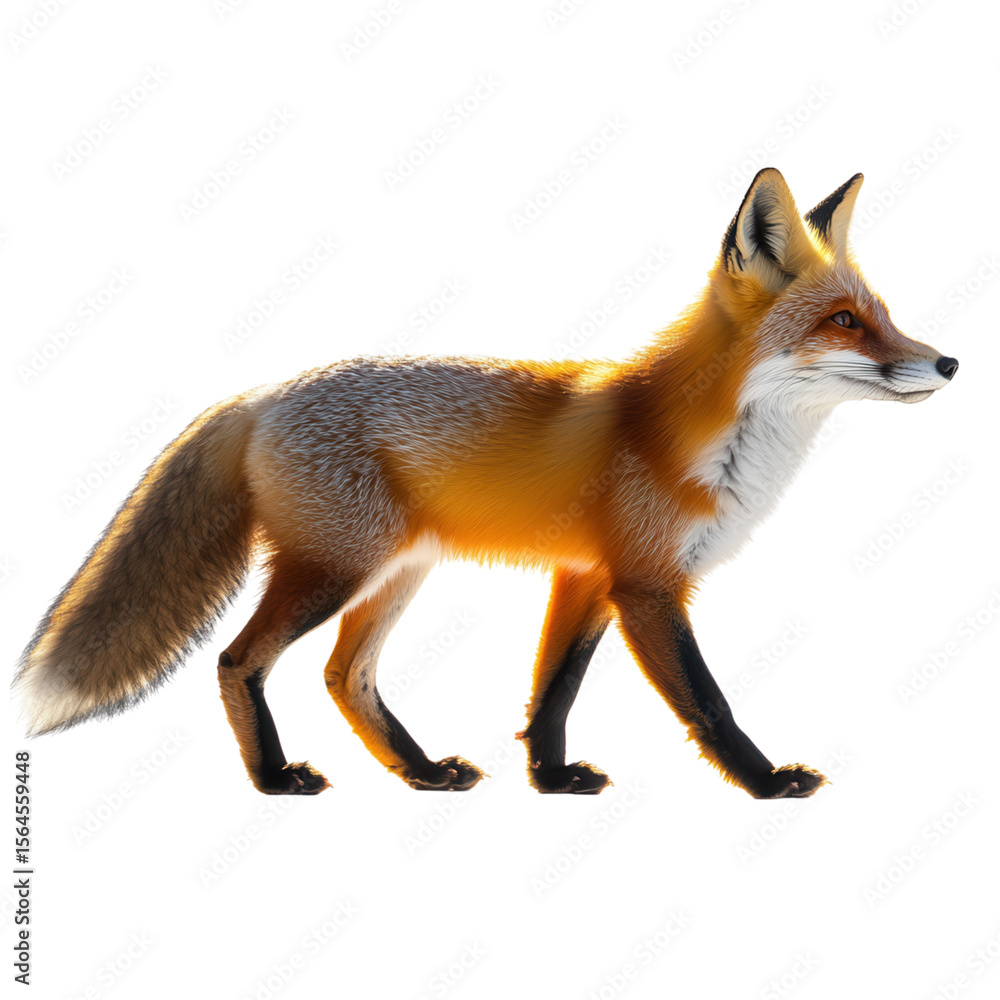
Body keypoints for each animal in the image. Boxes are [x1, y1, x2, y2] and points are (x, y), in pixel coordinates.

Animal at [14, 168, 958, 799]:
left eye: (883, 314)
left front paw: (550, 779)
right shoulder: (647, 583)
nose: (949, 362)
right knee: (238, 660)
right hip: (334, 571)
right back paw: (275, 779)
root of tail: (263, 394)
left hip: (396, 575)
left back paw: (422, 771)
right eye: (845, 321)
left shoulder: (587, 577)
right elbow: (707, 700)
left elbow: (553, 691)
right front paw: (763, 783)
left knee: (344, 676)